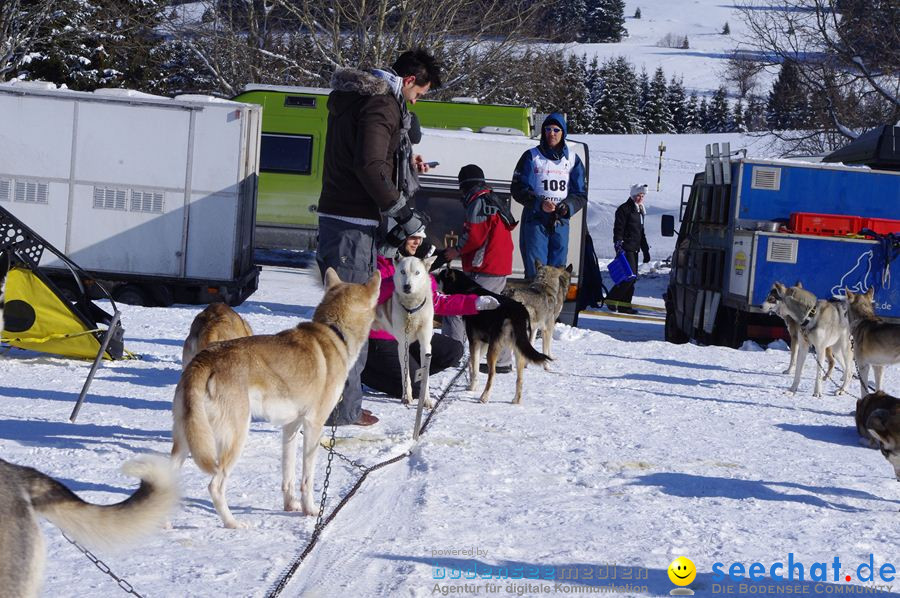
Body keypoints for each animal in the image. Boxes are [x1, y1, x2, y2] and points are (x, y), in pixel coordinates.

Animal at [374, 255, 438, 410]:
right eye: (403, 272)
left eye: (417, 273)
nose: (407, 286)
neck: (411, 309)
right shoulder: (403, 345)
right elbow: (406, 374)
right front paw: (406, 397)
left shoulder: (426, 345)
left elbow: (425, 375)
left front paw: (426, 400)